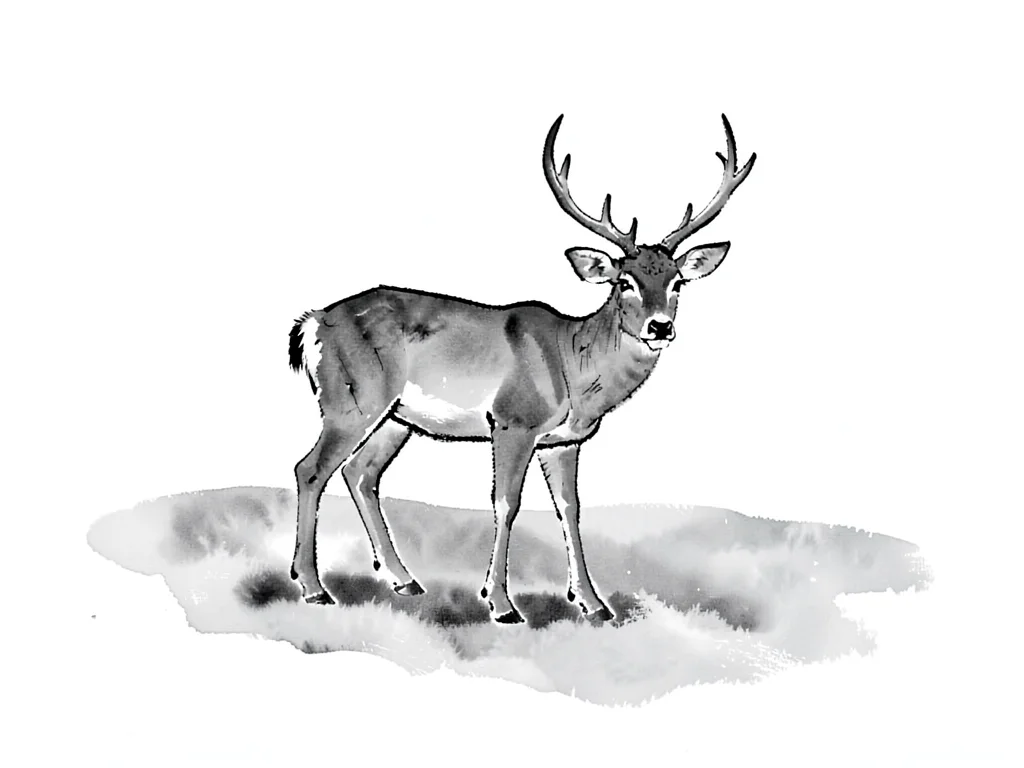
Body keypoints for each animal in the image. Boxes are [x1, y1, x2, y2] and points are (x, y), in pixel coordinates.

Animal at [287, 114, 755, 623]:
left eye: (677, 282)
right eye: (623, 281)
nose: (660, 326)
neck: (573, 367)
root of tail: (311, 323)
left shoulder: (564, 441)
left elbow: (570, 508)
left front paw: (592, 603)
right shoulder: (513, 420)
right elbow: (505, 502)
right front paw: (501, 603)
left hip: (396, 417)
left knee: (361, 473)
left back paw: (404, 580)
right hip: (351, 398)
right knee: (310, 469)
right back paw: (312, 586)